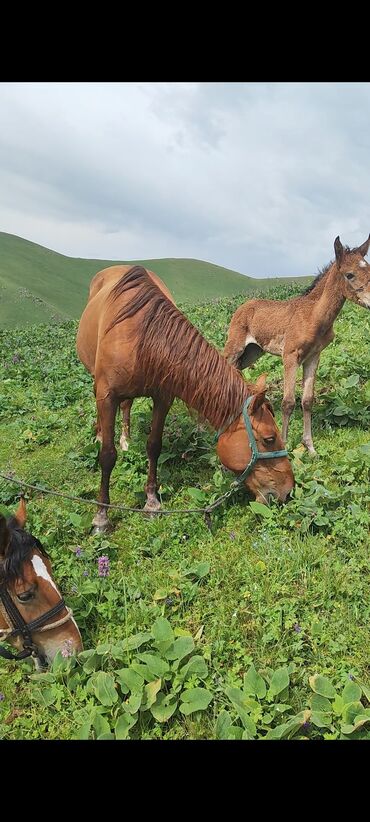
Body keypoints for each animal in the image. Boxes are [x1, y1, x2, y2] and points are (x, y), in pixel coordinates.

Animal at [76, 266, 294, 536]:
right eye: (269, 439)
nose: (288, 491)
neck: (141, 337)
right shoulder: (107, 396)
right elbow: (107, 456)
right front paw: (101, 517)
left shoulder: (163, 398)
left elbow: (154, 446)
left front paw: (152, 502)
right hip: (97, 383)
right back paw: (99, 436)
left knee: (127, 407)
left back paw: (126, 439)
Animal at [223, 237, 370, 458]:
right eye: (349, 274)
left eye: (369, 269)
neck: (314, 316)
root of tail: (243, 305)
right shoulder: (290, 356)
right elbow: (288, 402)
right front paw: (284, 445)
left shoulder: (313, 357)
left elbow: (307, 400)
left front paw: (310, 448)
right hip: (235, 347)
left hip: (252, 352)